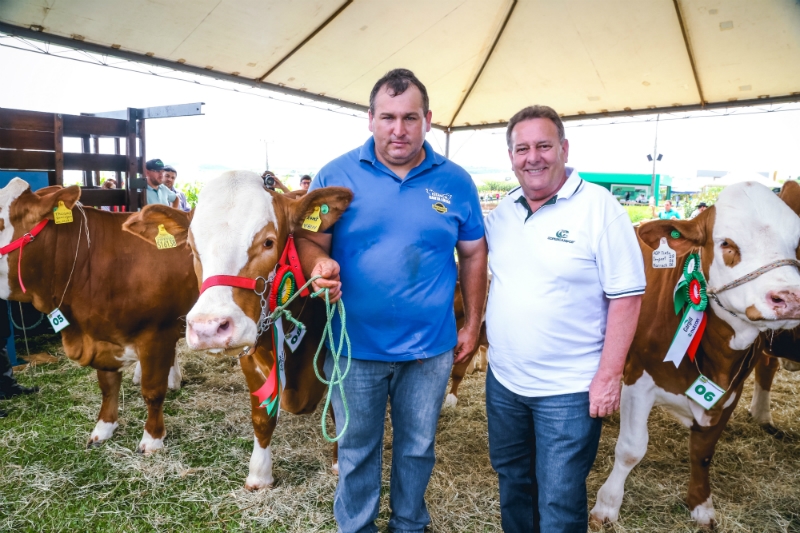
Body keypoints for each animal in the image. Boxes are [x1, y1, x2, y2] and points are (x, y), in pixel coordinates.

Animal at [0, 178, 197, 448]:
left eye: (0, 223)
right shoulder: (101, 335)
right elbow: (107, 386)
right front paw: (104, 428)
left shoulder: (157, 334)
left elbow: (153, 391)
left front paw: (152, 439)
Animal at [121, 170, 350, 486]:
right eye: (191, 248)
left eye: (268, 242)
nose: (208, 327)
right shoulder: (251, 358)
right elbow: (262, 417)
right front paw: (260, 474)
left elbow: (342, 412)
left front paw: (341, 464)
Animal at [588, 180, 800, 528]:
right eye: (727, 243)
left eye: (796, 244)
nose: (790, 298)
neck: (717, 358)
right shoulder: (639, 378)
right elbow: (631, 448)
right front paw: (607, 505)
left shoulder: (728, 393)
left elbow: (703, 451)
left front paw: (701, 505)